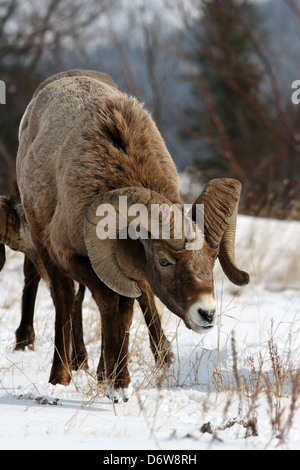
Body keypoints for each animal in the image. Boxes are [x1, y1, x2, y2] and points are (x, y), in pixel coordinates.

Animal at [10, 69, 250, 400]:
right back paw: (59, 370)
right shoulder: (73, 258)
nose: (207, 314)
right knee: (62, 297)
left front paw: (115, 381)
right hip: (43, 246)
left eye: (213, 259)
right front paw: (115, 384)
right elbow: (109, 306)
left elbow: (126, 309)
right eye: (164, 261)